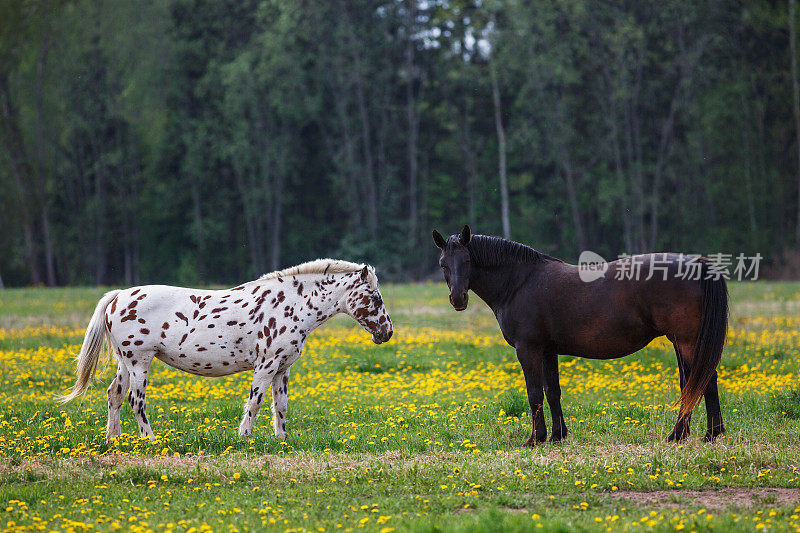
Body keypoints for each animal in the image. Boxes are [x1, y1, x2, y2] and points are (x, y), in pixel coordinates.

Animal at [58, 260, 390, 438]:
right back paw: (150, 439)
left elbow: (280, 406)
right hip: (140, 362)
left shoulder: (283, 368)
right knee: (135, 400)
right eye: (374, 296)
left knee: (114, 395)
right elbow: (255, 402)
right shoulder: (266, 365)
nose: (386, 332)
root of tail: (117, 297)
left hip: (125, 363)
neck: (290, 304)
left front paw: (282, 439)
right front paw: (244, 436)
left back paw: (114, 439)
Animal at [434, 224, 728, 444]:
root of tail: (696, 263)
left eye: (467, 260)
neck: (519, 282)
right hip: (680, 341)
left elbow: (534, 393)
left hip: (688, 341)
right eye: (443, 264)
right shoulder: (547, 350)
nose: (458, 299)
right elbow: (552, 391)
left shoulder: (528, 348)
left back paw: (707, 435)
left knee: (705, 380)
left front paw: (535, 438)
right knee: (690, 382)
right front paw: (557, 435)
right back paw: (683, 434)